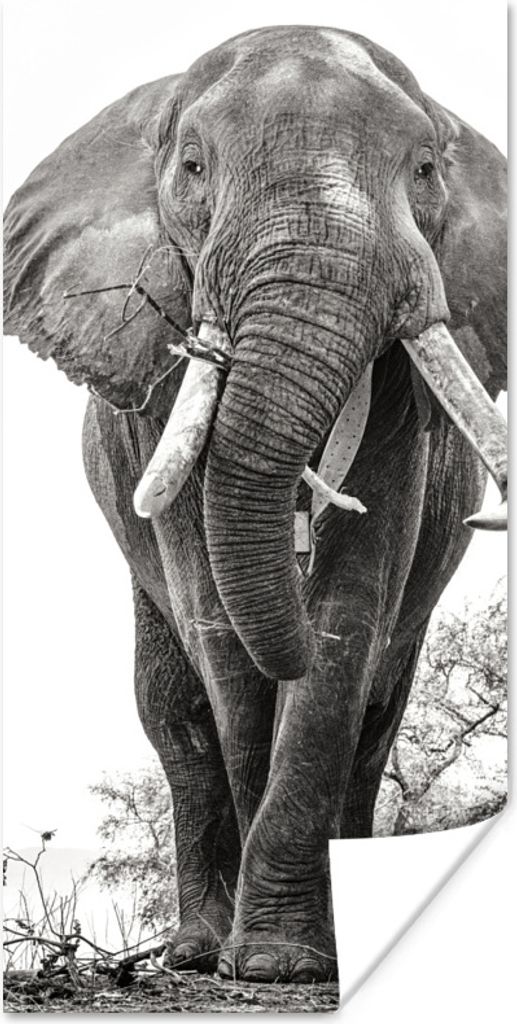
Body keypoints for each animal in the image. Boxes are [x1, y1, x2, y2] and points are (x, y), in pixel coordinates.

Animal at [4, 26, 507, 984]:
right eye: (193, 166)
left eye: (425, 168)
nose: (300, 529)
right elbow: (220, 632)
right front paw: (258, 959)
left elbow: (349, 617)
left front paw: (283, 960)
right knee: (173, 715)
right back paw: (197, 950)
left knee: (377, 715)